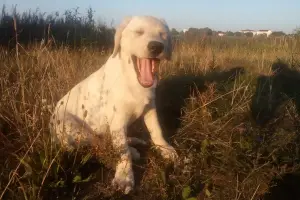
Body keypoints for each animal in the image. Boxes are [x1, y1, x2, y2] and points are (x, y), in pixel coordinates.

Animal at [49, 15, 178, 194]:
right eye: (139, 32)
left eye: (163, 35)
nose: (156, 46)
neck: (132, 80)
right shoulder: (117, 120)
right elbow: (122, 151)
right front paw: (124, 176)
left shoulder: (150, 108)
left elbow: (156, 130)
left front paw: (165, 149)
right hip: (73, 127)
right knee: (100, 144)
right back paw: (132, 150)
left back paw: (134, 141)